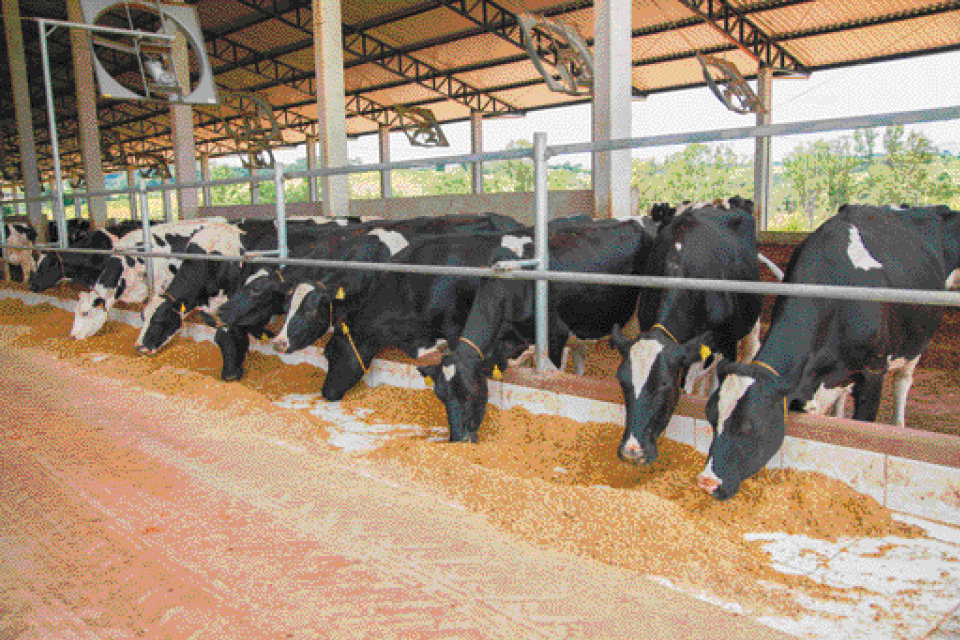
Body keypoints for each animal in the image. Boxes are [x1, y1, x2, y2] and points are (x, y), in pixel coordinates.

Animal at [696, 205, 960, 500]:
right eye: (711, 417)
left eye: (749, 426)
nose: (707, 481)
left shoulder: (873, 373)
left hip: (915, 344)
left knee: (903, 382)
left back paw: (899, 423)